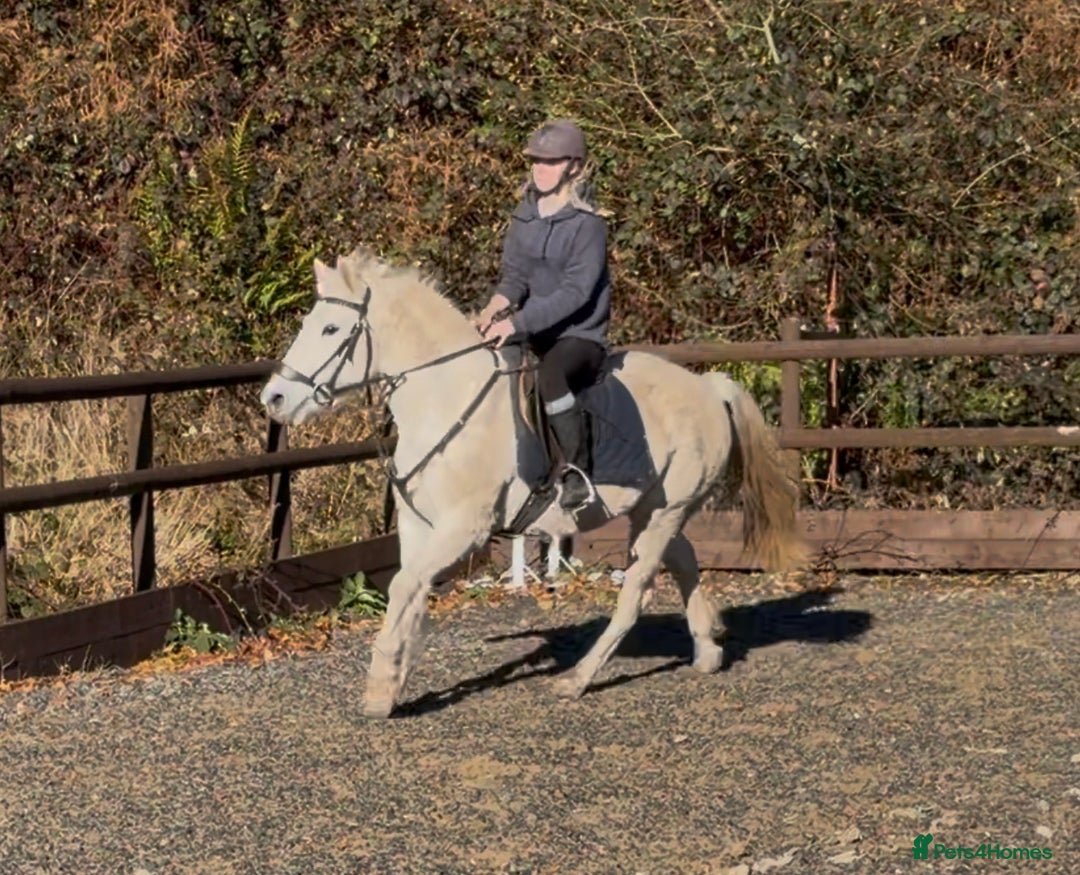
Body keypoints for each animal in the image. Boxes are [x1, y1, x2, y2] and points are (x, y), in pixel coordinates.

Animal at [259, 247, 807, 718]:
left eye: (331, 328)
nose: (275, 399)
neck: (445, 399)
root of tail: (708, 388)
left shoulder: (464, 528)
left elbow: (404, 587)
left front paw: (380, 688)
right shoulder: (419, 528)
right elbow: (407, 592)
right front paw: (394, 678)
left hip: (661, 515)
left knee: (636, 594)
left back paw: (578, 679)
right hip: (654, 508)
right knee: (686, 561)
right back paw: (708, 647)